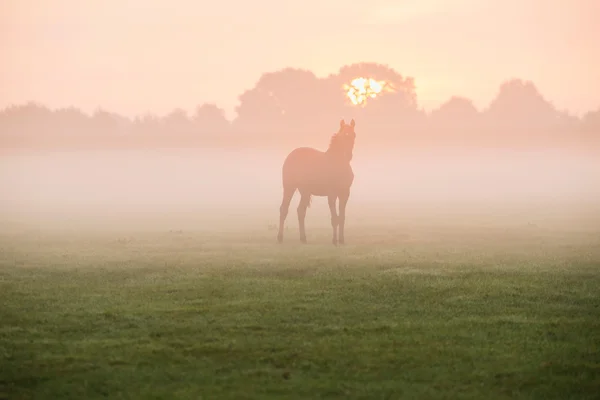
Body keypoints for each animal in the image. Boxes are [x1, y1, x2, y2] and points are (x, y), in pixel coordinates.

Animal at [278, 117, 356, 245]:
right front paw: (334, 241)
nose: (348, 155)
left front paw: (341, 240)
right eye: (343, 136)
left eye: (354, 135)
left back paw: (303, 238)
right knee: (284, 209)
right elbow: (334, 218)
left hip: (305, 192)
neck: (338, 164)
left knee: (300, 211)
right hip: (289, 187)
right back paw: (280, 238)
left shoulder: (345, 194)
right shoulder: (332, 194)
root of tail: (291, 155)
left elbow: (341, 218)